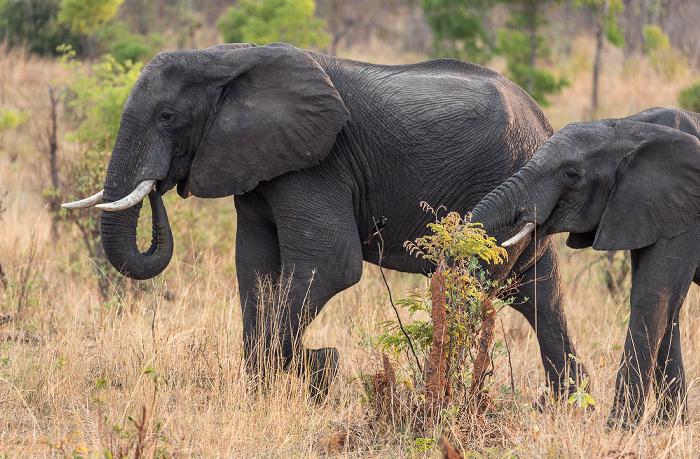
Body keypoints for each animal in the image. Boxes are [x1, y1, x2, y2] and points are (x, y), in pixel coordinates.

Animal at [64, 42, 584, 396]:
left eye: (168, 116)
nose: (158, 186)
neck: (226, 60)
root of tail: (542, 120)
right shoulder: (259, 161)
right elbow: (254, 266)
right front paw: (273, 388)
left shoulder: (319, 162)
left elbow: (331, 265)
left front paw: (321, 367)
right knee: (542, 297)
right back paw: (566, 404)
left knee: (481, 287)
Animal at [468, 107, 700, 428]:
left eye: (570, 176)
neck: (631, 129)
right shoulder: (646, 209)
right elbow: (667, 305)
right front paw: (669, 426)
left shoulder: (688, 212)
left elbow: (654, 296)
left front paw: (620, 428)